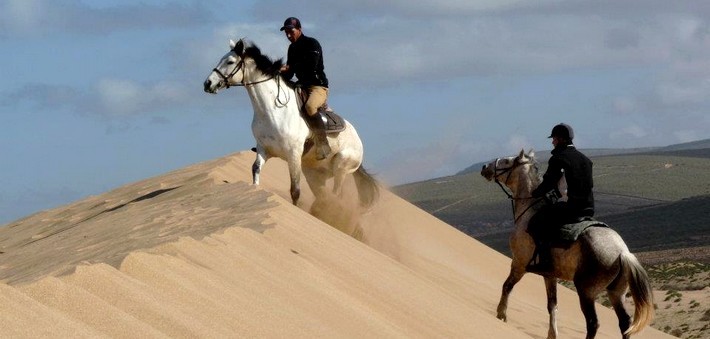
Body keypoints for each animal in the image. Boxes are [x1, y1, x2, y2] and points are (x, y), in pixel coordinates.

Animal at [203, 39, 382, 210]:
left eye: (230, 61)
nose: (207, 83)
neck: (273, 110)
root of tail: (358, 141)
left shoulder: (293, 155)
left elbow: (295, 190)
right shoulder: (263, 149)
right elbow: (255, 170)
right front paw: (254, 189)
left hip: (341, 168)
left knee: (336, 194)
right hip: (314, 175)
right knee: (325, 196)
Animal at [482, 151, 652, 339]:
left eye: (506, 161)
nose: (484, 168)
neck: (529, 211)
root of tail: (622, 252)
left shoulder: (518, 264)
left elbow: (507, 286)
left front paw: (501, 314)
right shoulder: (550, 275)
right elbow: (552, 305)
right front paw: (552, 334)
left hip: (586, 291)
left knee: (593, 323)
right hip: (616, 293)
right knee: (625, 324)